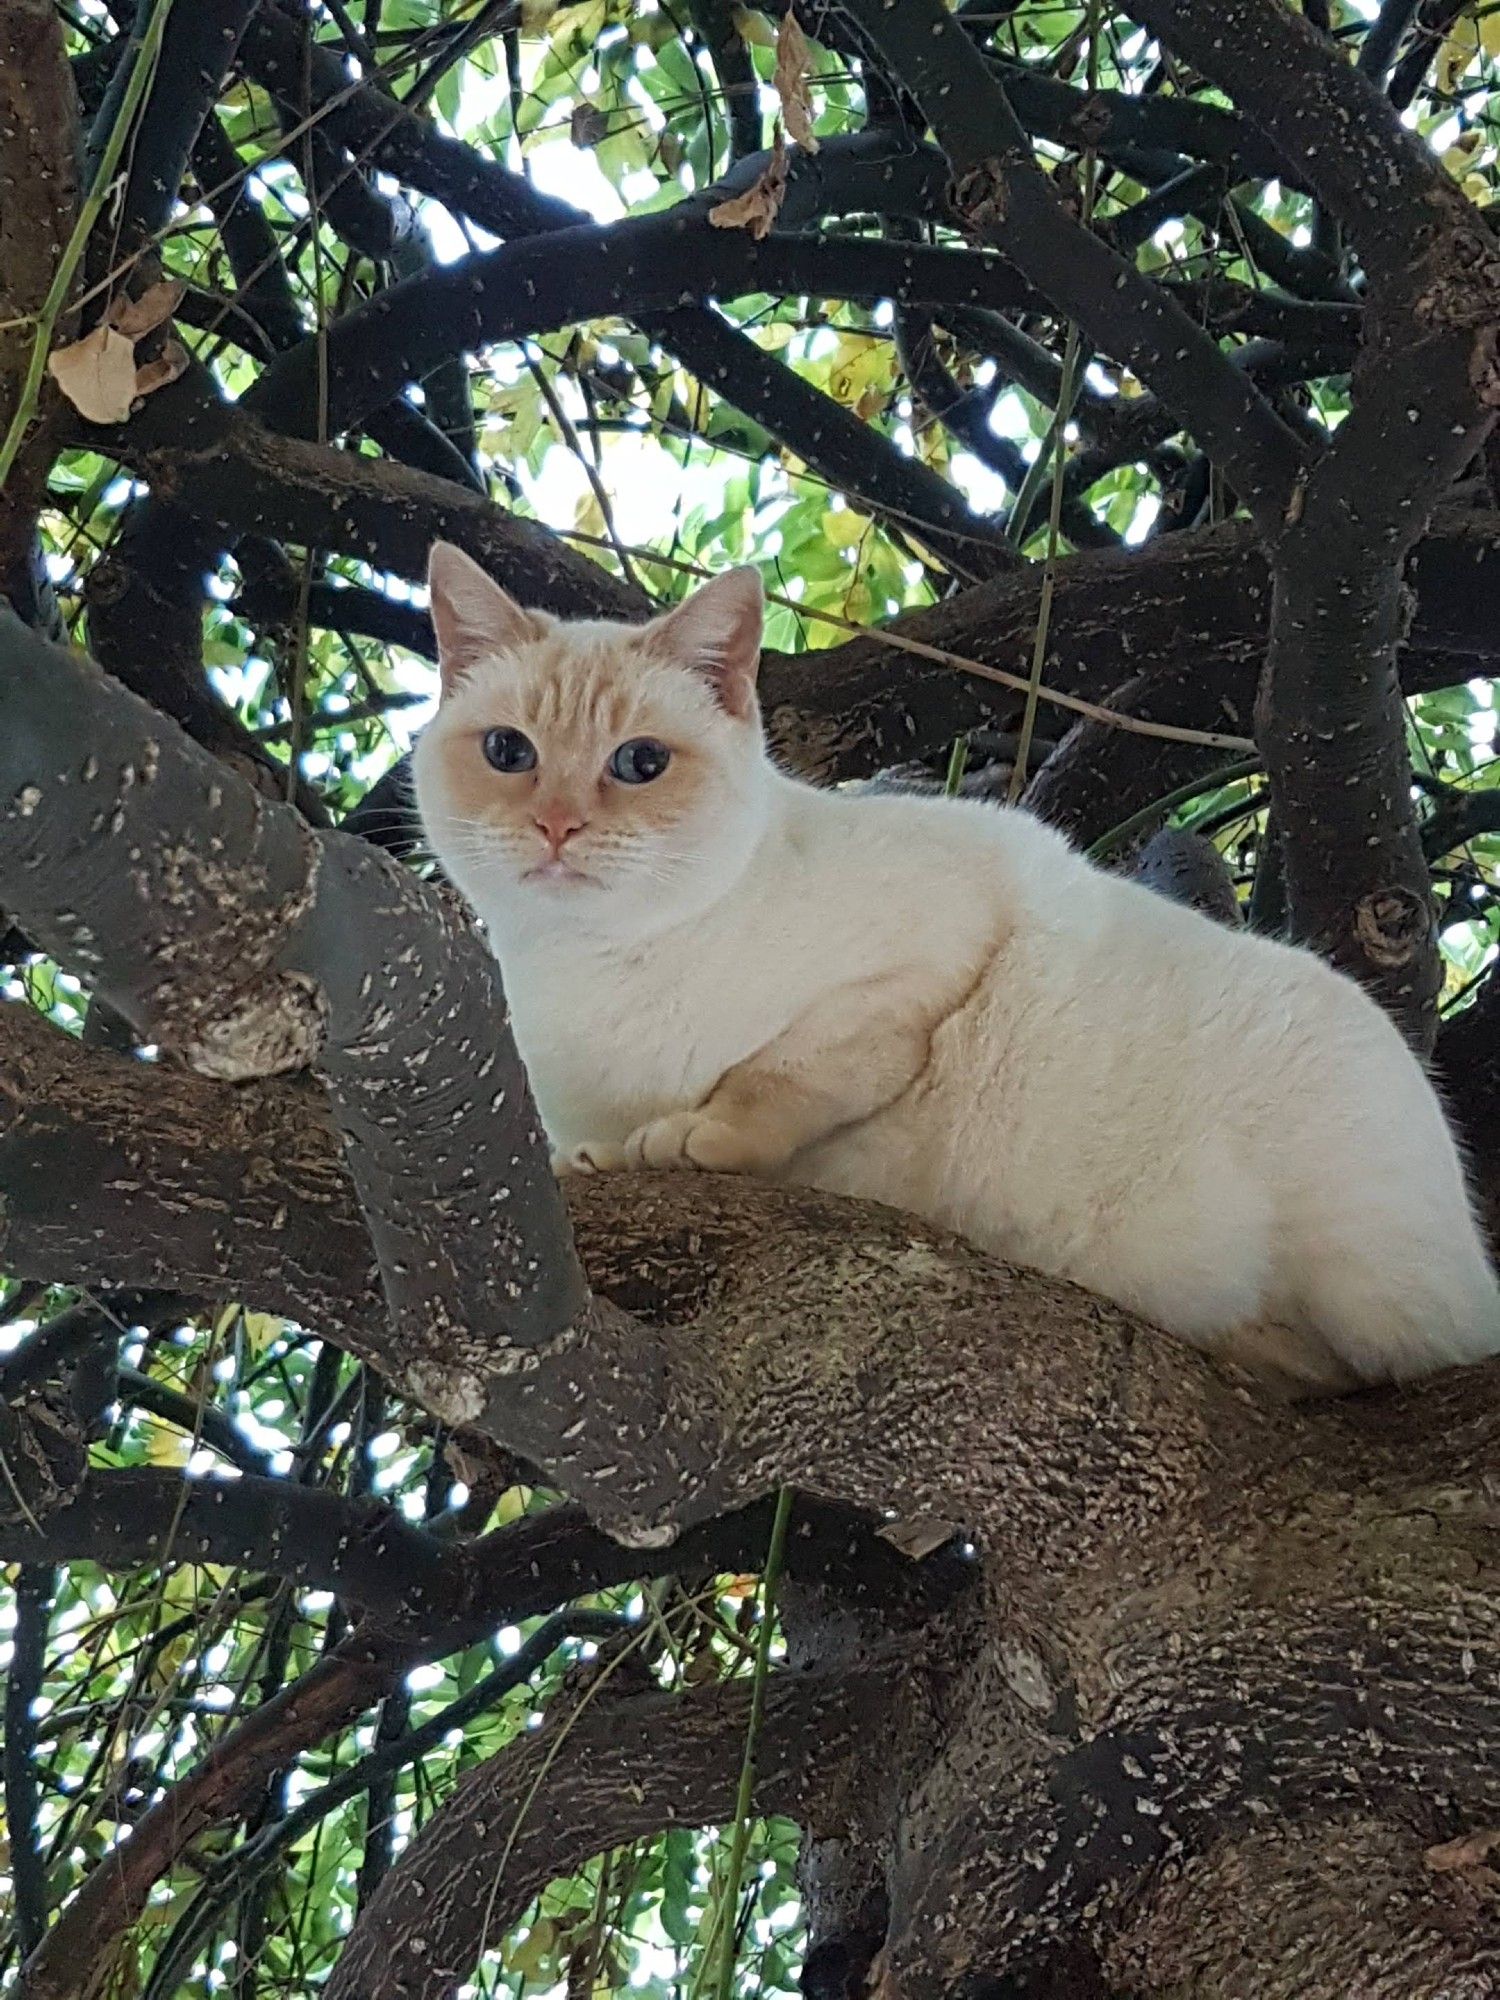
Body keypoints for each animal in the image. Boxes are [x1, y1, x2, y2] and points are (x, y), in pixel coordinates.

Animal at [412, 540, 1500, 1400]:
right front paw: (601, 1157)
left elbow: (779, 1080)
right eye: (508, 752)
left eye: (640, 764)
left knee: (1363, 1367)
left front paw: (695, 1135)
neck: (592, 972)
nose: (557, 826)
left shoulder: (931, 951)